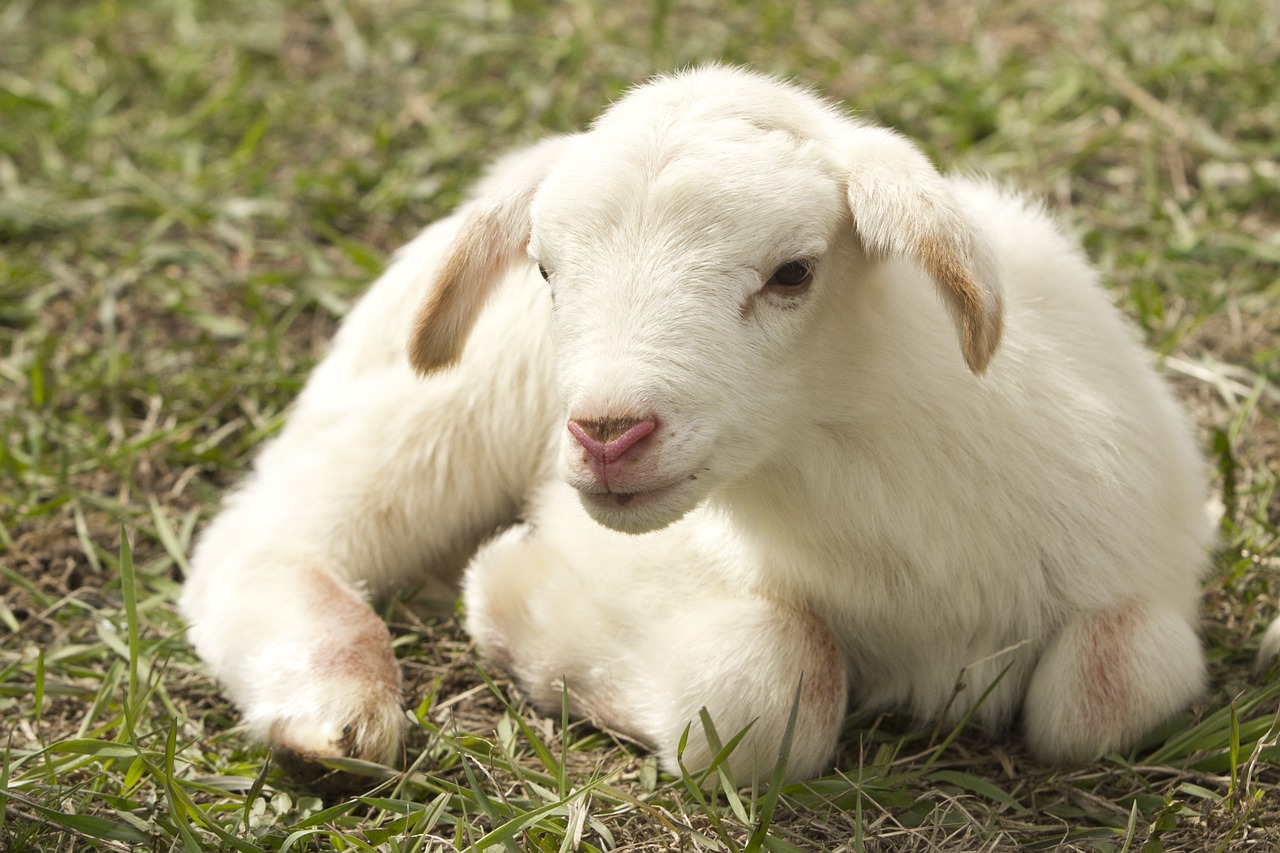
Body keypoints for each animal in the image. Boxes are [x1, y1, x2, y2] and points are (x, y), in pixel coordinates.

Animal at [177, 68, 1218, 783]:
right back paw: (334, 709)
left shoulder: (1141, 565)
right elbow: (772, 687)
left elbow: (1112, 683)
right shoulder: (628, 559)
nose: (607, 432)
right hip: (433, 411)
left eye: (795, 271)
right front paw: (513, 604)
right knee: (267, 535)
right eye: (546, 269)